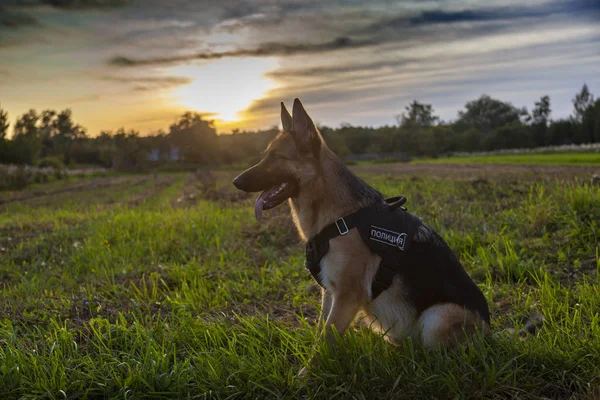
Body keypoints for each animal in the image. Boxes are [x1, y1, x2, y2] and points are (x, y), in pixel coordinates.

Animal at [232, 99, 490, 376]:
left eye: (276, 157)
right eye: (265, 156)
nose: (236, 181)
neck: (339, 218)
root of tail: (490, 332)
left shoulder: (347, 296)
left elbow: (326, 339)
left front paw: (306, 376)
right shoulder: (329, 293)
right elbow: (321, 330)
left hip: (437, 318)